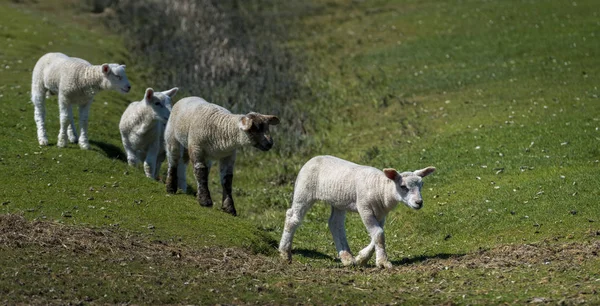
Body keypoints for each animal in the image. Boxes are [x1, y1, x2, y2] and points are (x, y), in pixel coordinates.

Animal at [278, 155, 434, 268]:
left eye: (421, 185)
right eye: (403, 186)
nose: (419, 202)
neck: (381, 189)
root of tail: (313, 158)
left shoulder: (381, 213)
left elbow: (377, 235)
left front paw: (361, 258)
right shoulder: (364, 208)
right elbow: (379, 234)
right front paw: (383, 262)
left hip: (339, 201)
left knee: (335, 224)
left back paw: (347, 258)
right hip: (303, 191)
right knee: (293, 218)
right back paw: (285, 253)